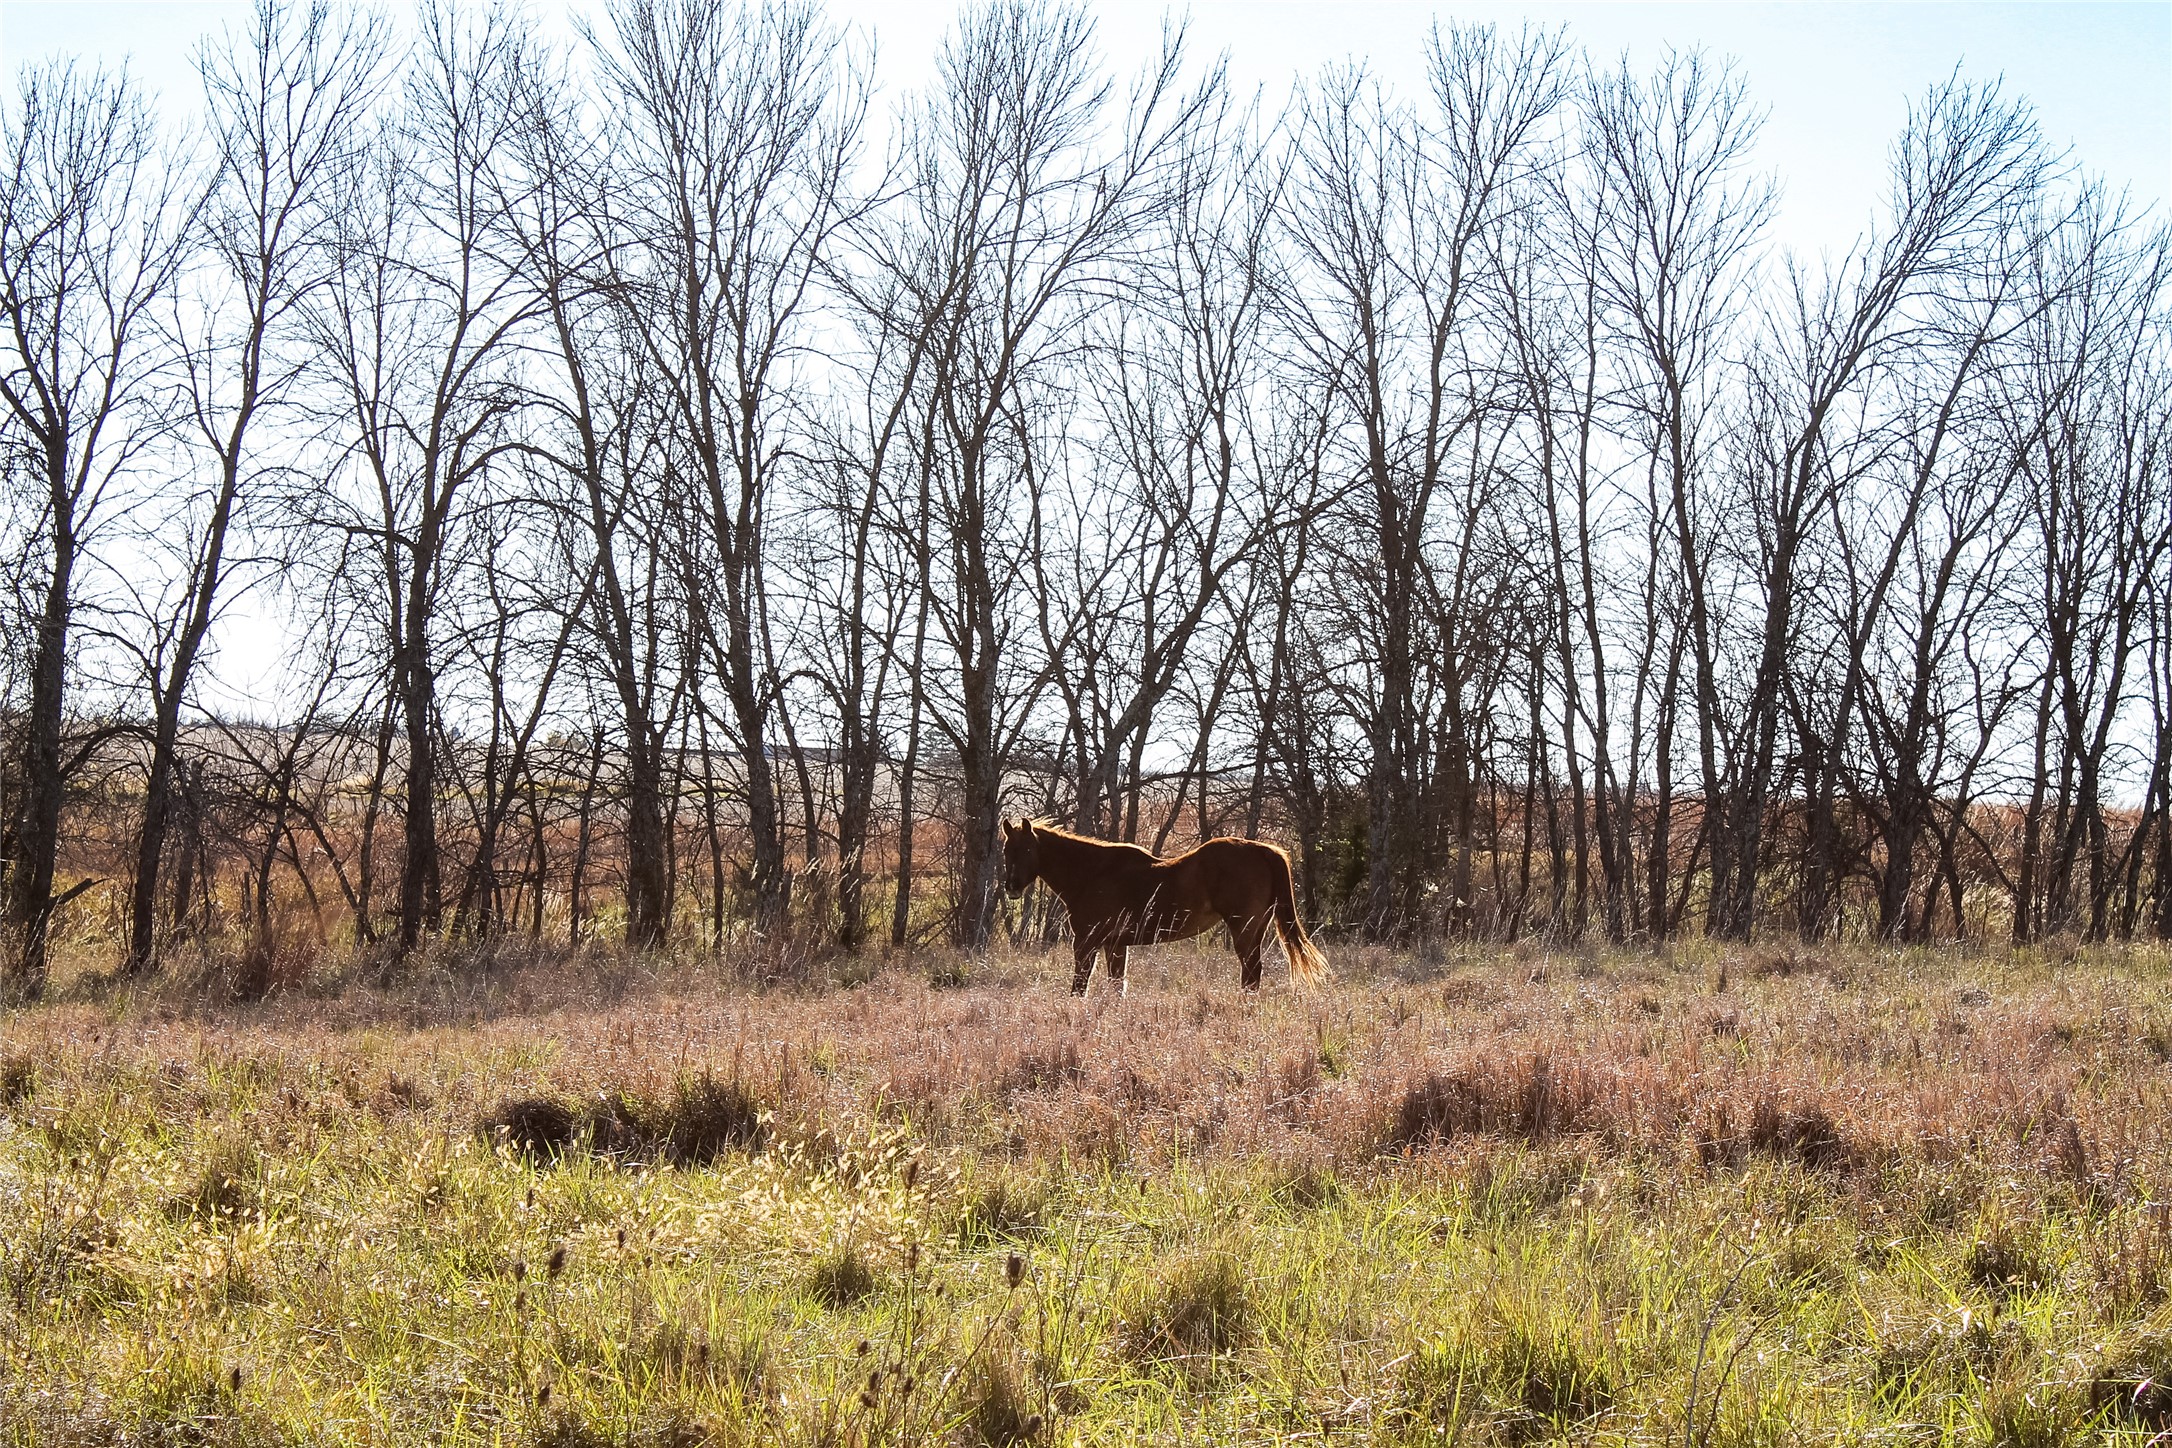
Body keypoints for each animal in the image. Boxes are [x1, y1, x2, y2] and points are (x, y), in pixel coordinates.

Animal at [994, 824, 1320, 998]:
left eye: (1026, 850)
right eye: (1006, 850)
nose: (1011, 886)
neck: (1093, 873)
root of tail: (1264, 850)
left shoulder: (1086, 943)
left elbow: (1079, 986)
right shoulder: (1115, 944)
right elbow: (1116, 987)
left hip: (1244, 929)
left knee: (1251, 972)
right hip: (1256, 929)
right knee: (1252, 974)